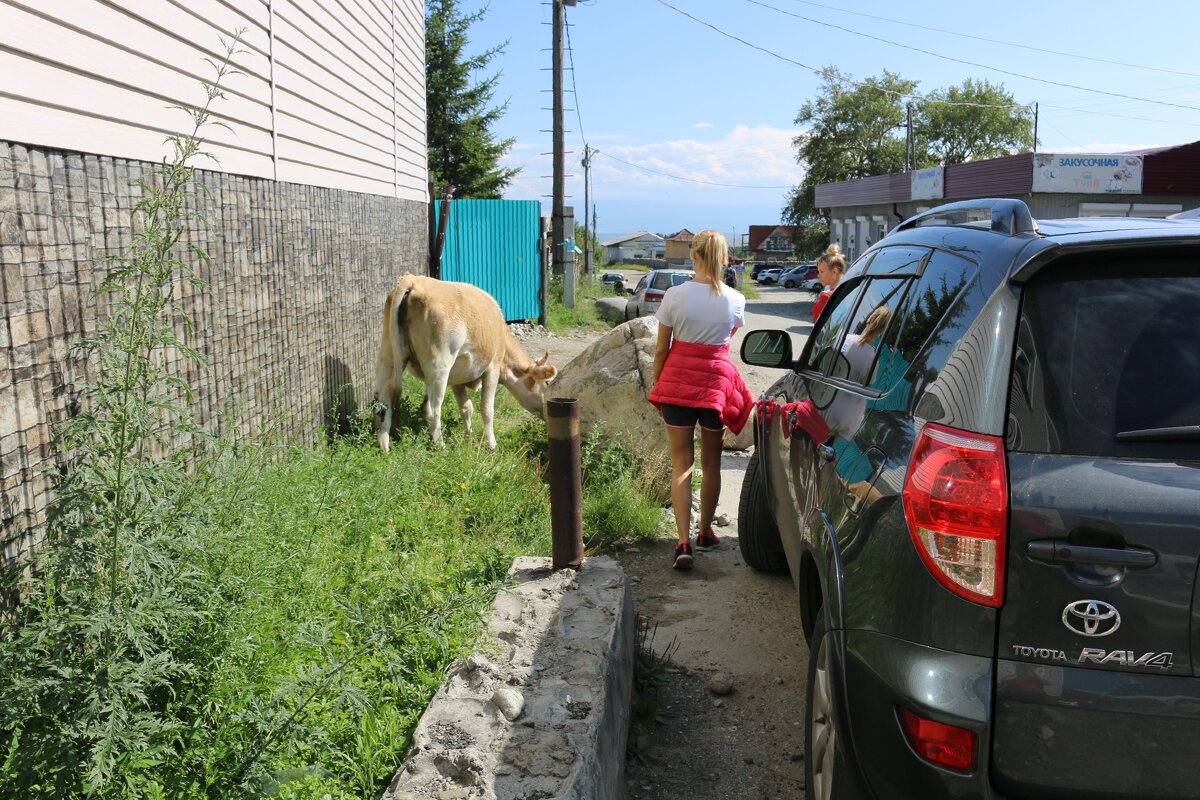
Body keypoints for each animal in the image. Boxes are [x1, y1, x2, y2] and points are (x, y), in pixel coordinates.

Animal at [374, 273, 556, 450]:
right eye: (547, 383)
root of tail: (412, 280)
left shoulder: (457, 378)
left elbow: (466, 408)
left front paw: (469, 438)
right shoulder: (493, 368)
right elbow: (487, 408)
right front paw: (491, 445)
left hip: (387, 357)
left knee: (382, 404)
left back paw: (384, 447)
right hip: (439, 365)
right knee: (431, 408)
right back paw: (440, 446)